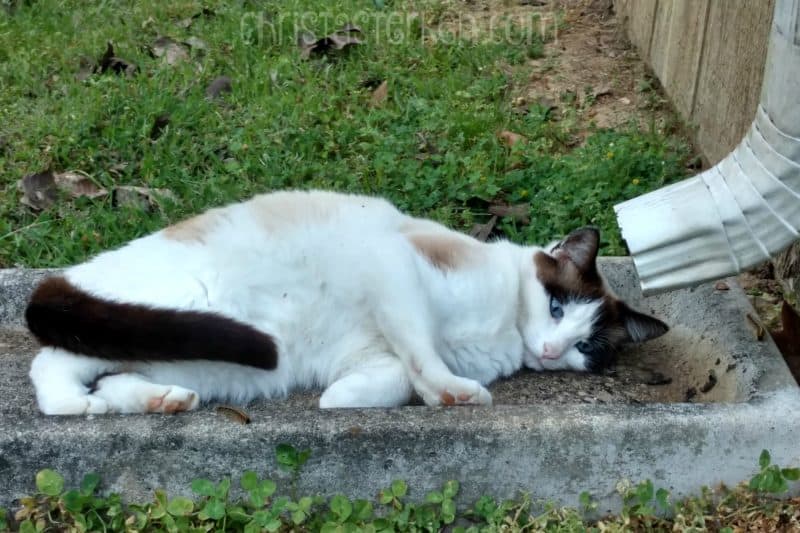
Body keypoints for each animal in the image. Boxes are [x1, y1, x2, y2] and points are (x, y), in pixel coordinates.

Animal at [23, 189, 668, 414]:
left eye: (587, 346)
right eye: (556, 308)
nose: (555, 349)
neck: (506, 331)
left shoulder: (372, 354)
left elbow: (397, 374)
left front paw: (339, 401)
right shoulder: (394, 267)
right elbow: (423, 354)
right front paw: (454, 395)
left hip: (200, 359)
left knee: (108, 377)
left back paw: (155, 402)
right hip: (179, 312)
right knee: (49, 361)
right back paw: (78, 405)